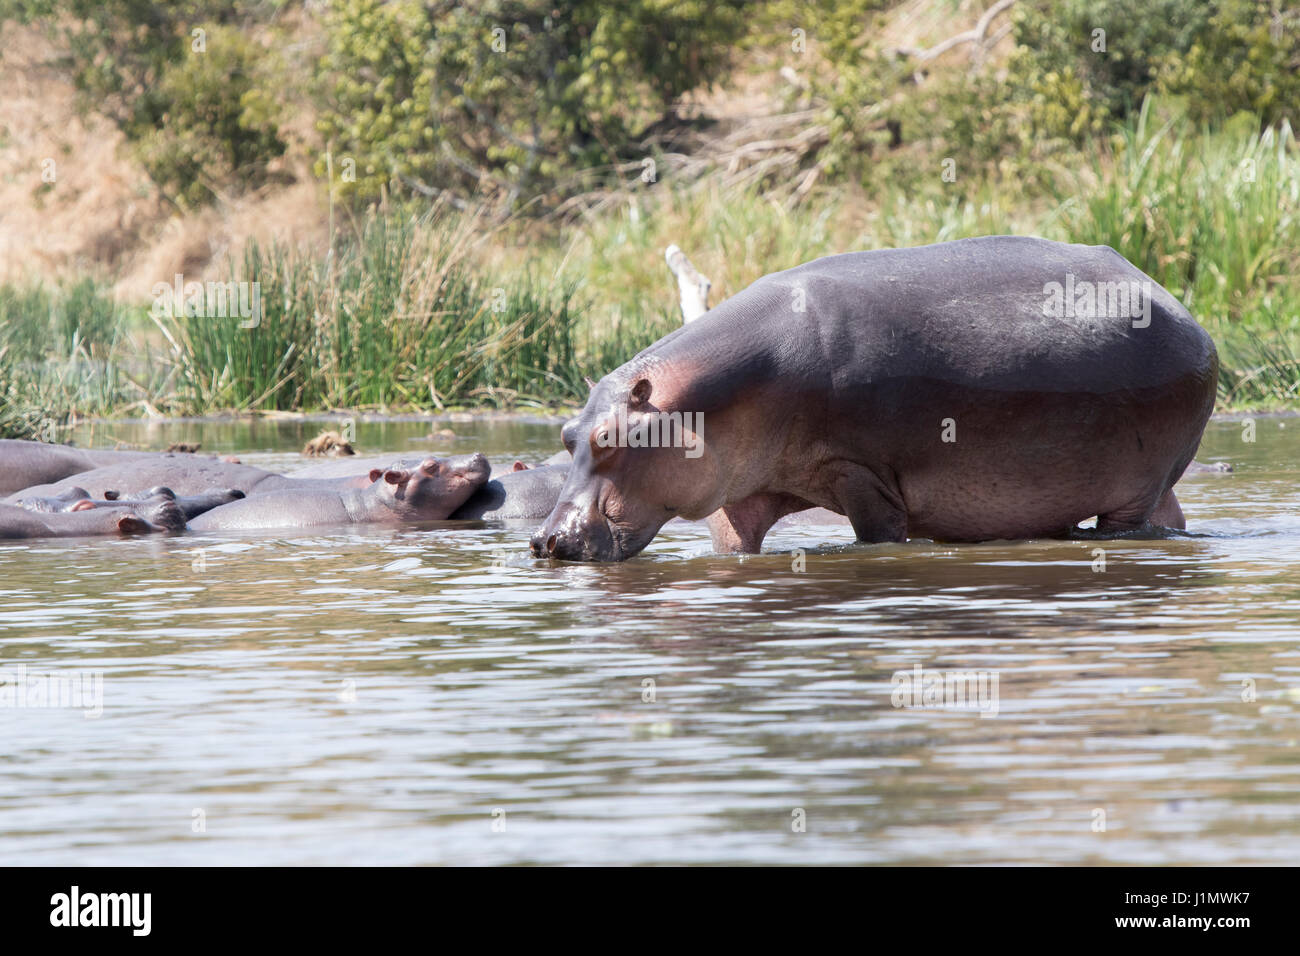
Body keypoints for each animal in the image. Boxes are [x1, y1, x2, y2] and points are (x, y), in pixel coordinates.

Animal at [527, 235, 1216, 561]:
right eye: (567, 435)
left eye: (611, 438)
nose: (544, 540)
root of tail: (1180, 309)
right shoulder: (739, 491)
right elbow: (734, 542)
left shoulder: (862, 476)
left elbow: (879, 533)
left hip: (1133, 489)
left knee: (1130, 523)